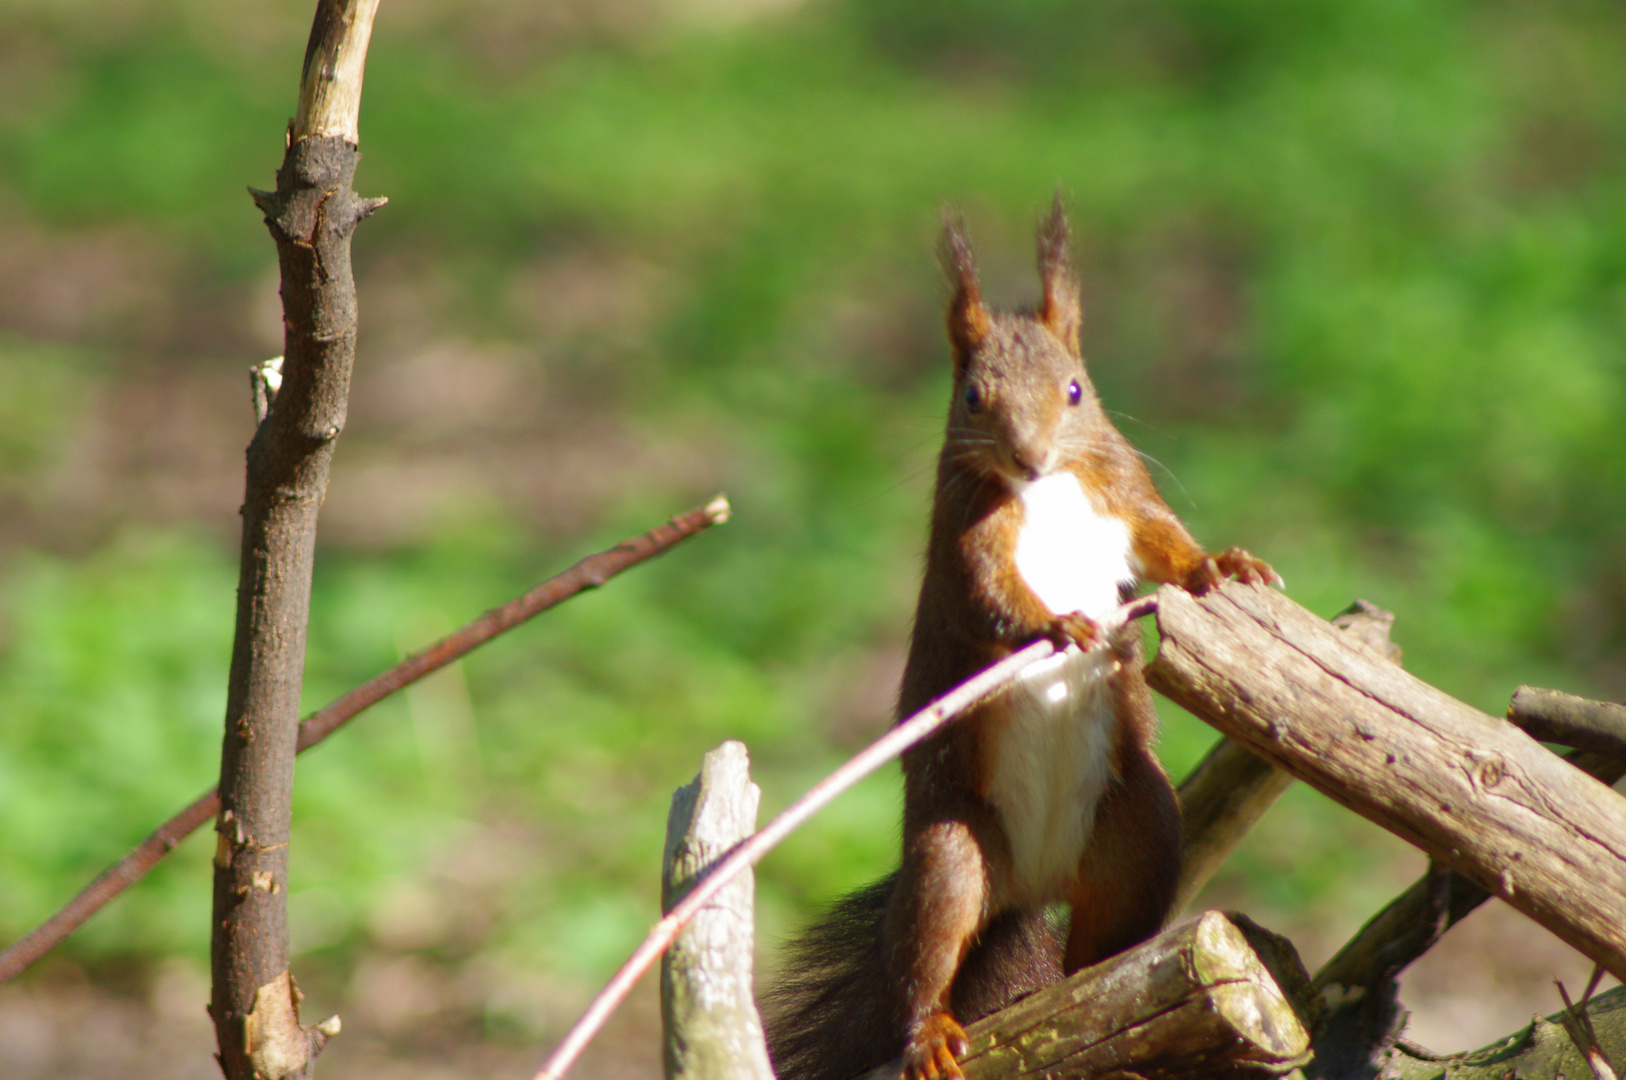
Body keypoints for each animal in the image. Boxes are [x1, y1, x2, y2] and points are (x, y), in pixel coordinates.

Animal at [764, 198, 1281, 1080]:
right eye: (973, 396)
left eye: (1075, 388)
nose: (1030, 455)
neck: (1047, 491)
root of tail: (1034, 884)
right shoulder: (965, 538)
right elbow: (990, 598)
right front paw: (1057, 622)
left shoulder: (1125, 494)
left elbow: (1165, 544)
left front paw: (1221, 564)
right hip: (952, 854)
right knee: (927, 951)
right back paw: (930, 1033)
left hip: (1140, 833)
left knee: (1101, 959)